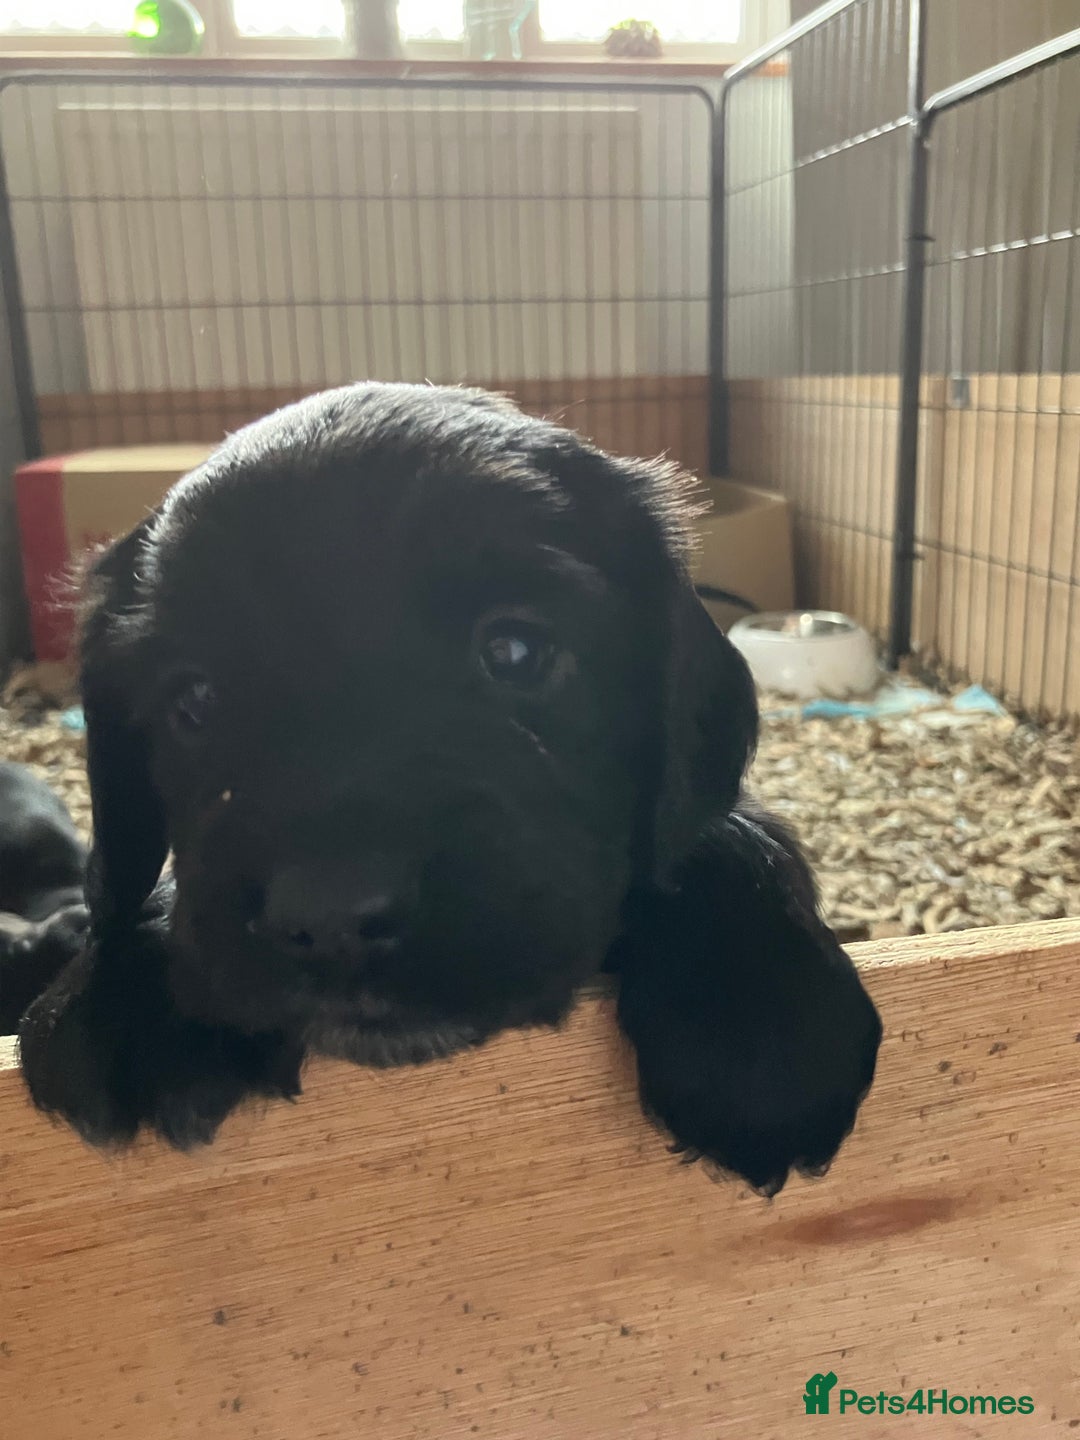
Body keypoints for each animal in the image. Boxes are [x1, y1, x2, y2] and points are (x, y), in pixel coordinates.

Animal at [1, 384, 882, 1195]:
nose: (332, 916)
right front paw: (125, 993)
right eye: (194, 701)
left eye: (516, 651)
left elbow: (718, 832)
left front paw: (762, 1026)